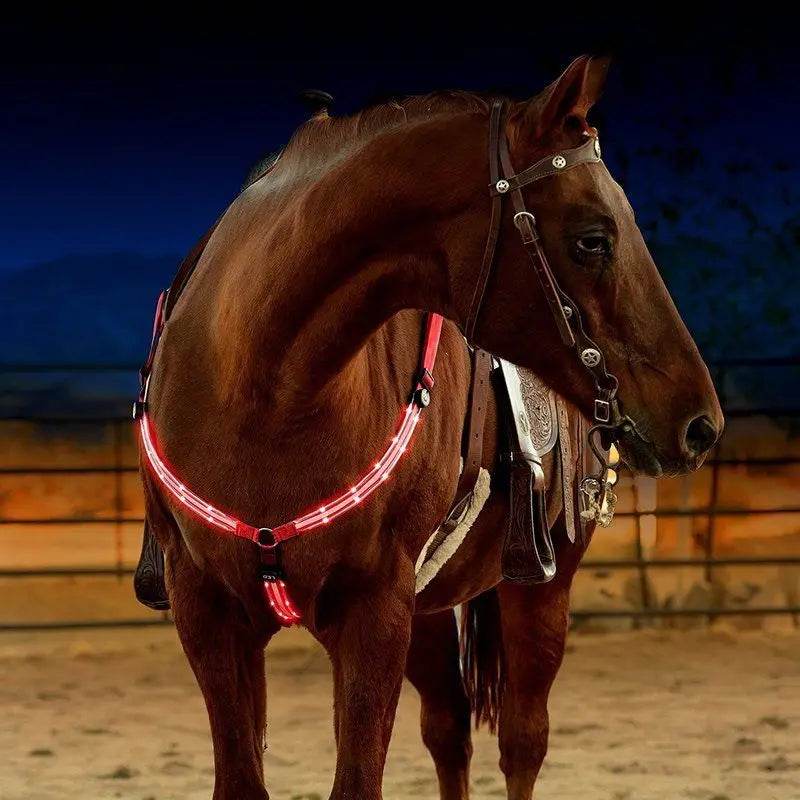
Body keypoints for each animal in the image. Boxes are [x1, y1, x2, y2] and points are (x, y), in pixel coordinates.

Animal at [138, 55, 723, 799]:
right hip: (428, 612)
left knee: (523, 742)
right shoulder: (208, 610)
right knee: (449, 731)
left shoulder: (374, 611)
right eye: (593, 239)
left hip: (539, 588)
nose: (700, 424)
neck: (263, 393)